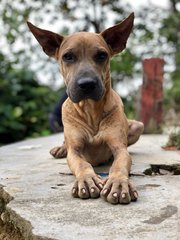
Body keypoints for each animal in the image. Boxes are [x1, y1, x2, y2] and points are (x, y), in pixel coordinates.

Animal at [27, 13, 143, 203]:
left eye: (102, 55)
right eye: (68, 56)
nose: (87, 84)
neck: (90, 110)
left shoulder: (120, 148)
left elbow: (119, 165)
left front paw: (118, 183)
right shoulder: (75, 150)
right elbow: (82, 163)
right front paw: (88, 180)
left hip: (138, 126)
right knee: (65, 143)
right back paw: (61, 148)